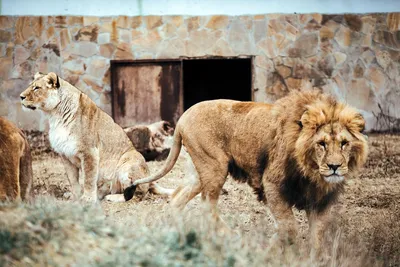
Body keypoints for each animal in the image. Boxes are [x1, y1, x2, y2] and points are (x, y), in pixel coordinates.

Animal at [20, 72, 170, 204]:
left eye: (36, 88)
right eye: (31, 86)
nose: (21, 97)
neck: (55, 115)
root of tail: (150, 180)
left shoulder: (89, 152)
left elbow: (88, 178)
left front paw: (87, 199)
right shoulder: (65, 154)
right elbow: (73, 180)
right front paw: (76, 197)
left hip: (129, 160)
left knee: (138, 193)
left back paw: (111, 197)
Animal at [125, 90, 368, 251]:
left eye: (344, 144)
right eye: (322, 144)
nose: (335, 167)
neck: (311, 172)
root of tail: (184, 116)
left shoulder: (320, 198)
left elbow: (318, 235)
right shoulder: (272, 183)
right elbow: (289, 226)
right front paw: (274, 246)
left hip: (199, 171)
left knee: (177, 197)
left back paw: (176, 233)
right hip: (215, 166)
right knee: (207, 204)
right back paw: (228, 236)